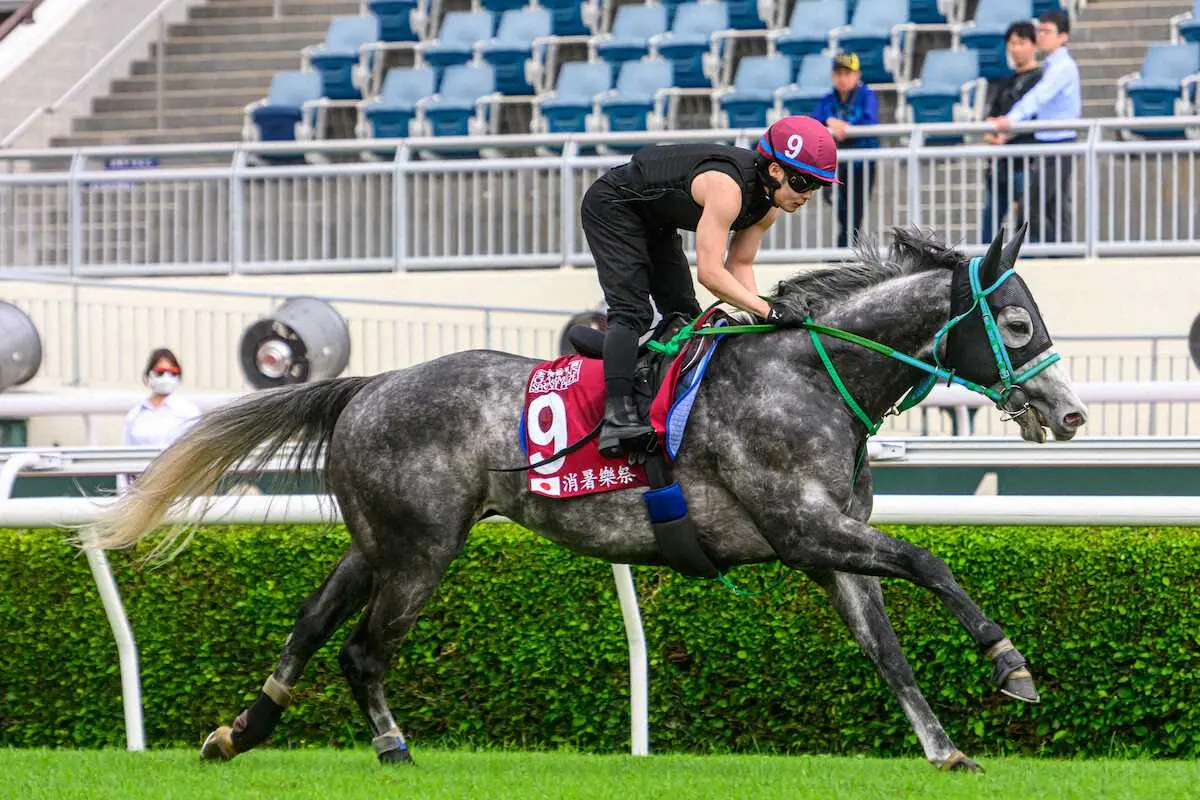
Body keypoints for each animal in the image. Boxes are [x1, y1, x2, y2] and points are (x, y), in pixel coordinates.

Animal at [88, 224, 1089, 767]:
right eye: (1017, 321)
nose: (1071, 413)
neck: (809, 376)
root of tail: (366, 385)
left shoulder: (823, 543)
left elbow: (887, 650)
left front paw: (944, 746)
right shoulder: (804, 526)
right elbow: (931, 560)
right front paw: (1011, 664)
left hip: (380, 540)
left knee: (313, 621)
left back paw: (241, 729)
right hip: (422, 552)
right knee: (363, 652)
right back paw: (391, 745)